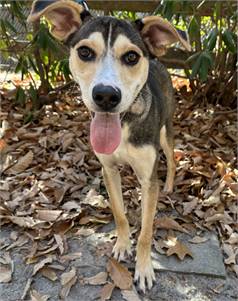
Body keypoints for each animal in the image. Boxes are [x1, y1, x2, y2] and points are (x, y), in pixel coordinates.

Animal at [27, 0, 191, 290]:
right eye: (84, 52)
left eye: (132, 57)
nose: (105, 95)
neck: (123, 123)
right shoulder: (109, 170)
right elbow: (119, 213)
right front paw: (123, 245)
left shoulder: (148, 178)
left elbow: (146, 231)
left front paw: (144, 268)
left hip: (166, 133)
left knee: (172, 160)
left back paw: (170, 185)